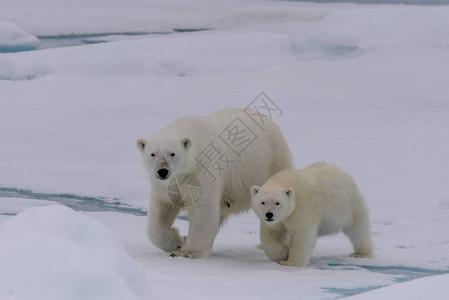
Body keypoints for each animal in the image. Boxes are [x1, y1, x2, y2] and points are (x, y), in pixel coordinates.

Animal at [136, 108, 292, 258]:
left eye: (172, 153)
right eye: (153, 154)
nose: (162, 171)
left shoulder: (202, 171)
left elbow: (203, 208)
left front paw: (187, 252)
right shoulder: (165, 186)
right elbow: (161, 210)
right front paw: (177, 242)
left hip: (272, 162)